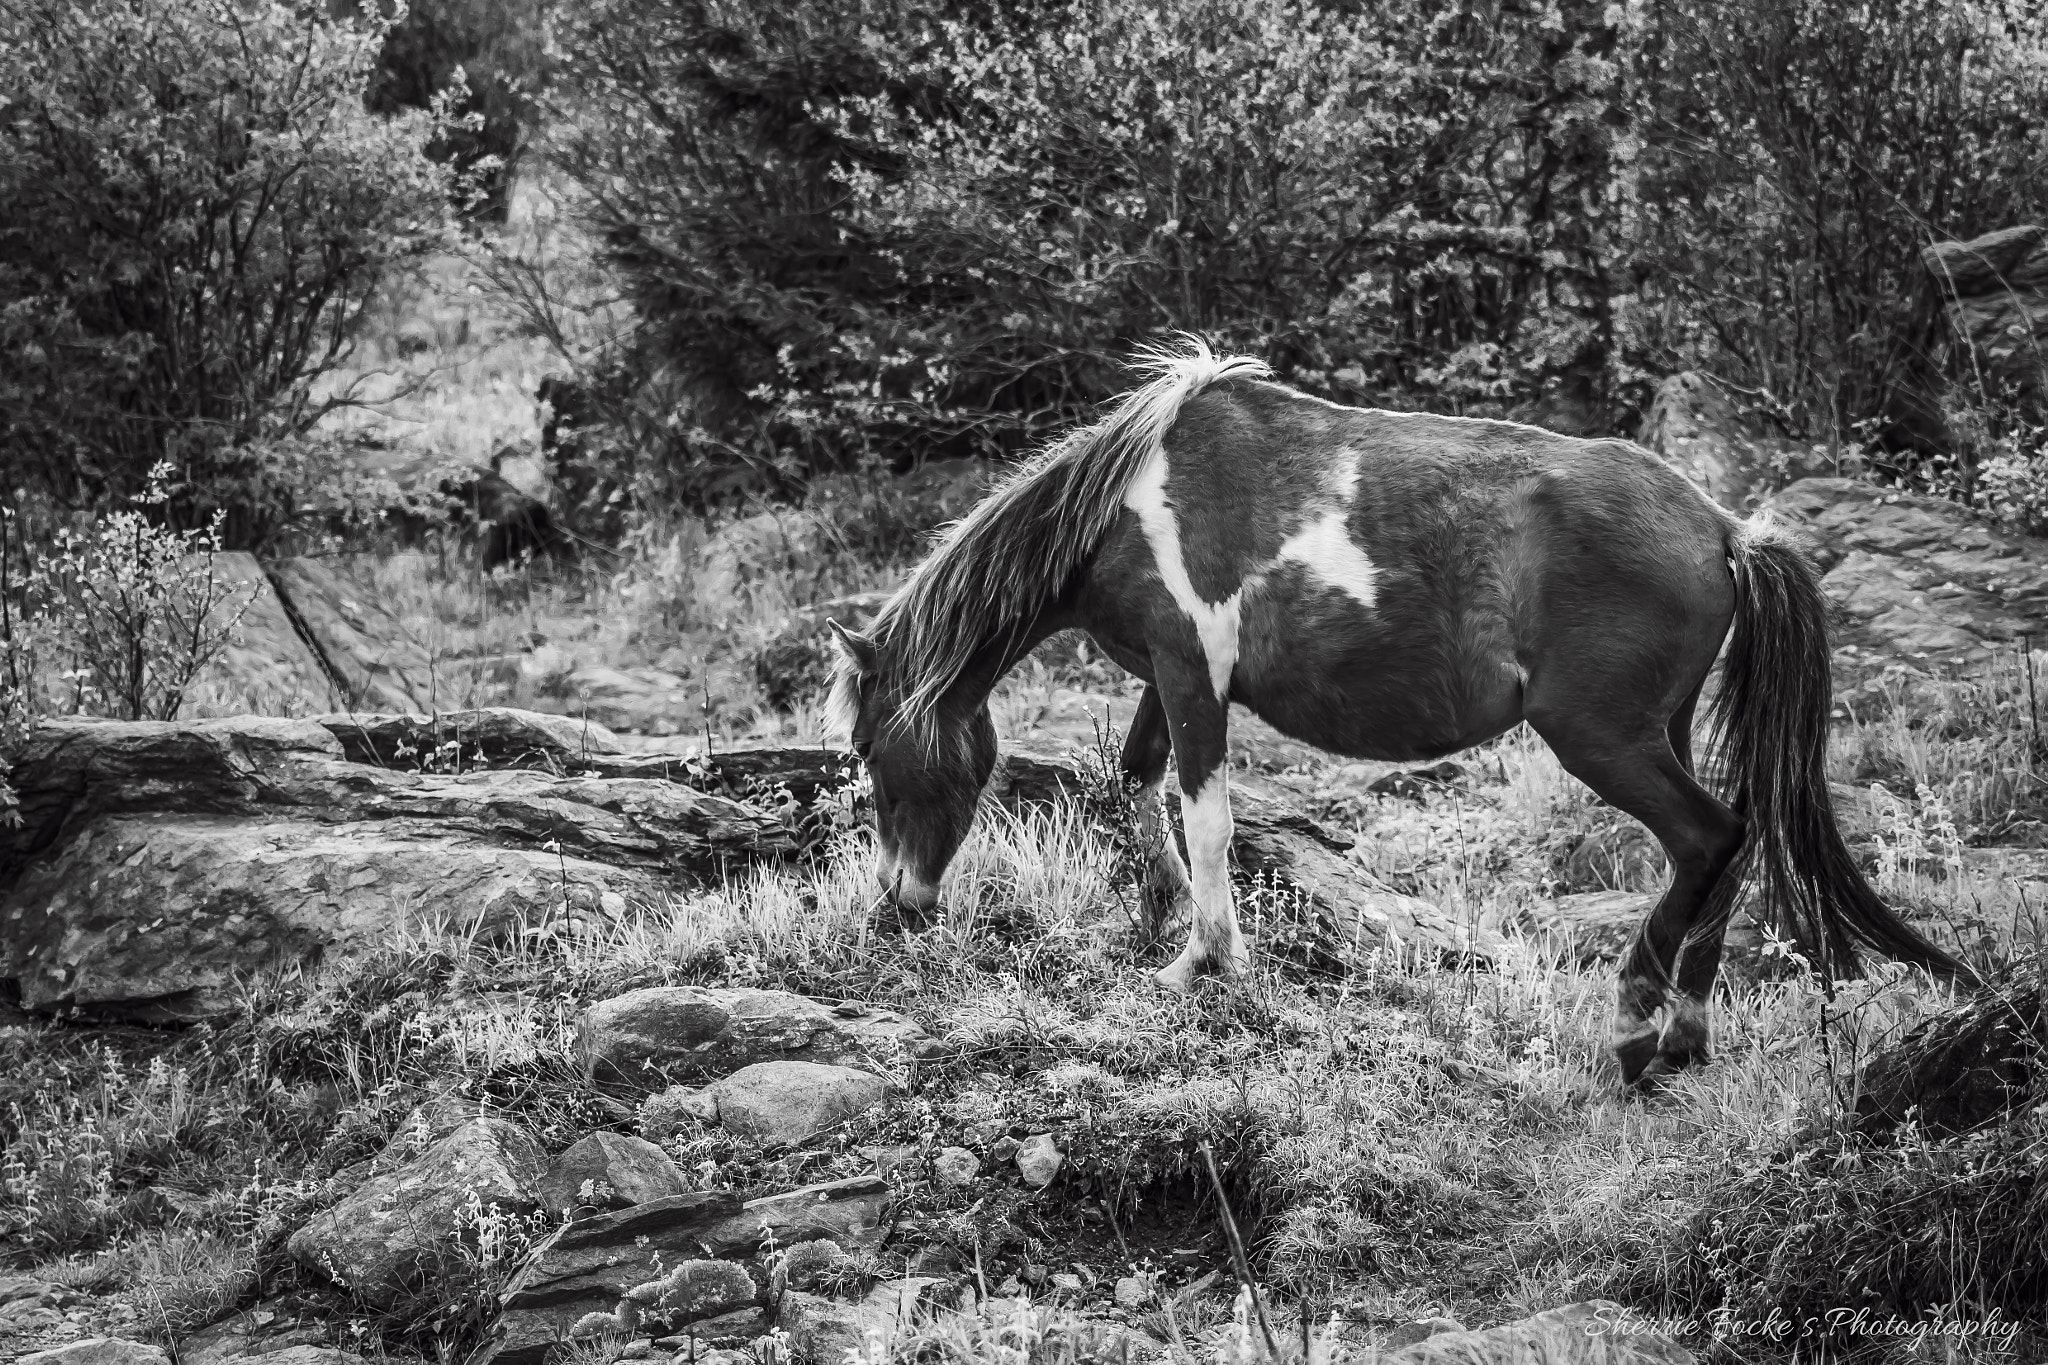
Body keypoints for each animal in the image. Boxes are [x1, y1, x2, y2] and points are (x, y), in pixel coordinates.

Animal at [826, 339, 1966, 1083]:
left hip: (1598, 736)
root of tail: (1726, 530)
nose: (897, 904)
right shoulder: (1165, 674)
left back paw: (1634, 1027)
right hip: (1662, 729)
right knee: (1723, 852)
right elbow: (1139, 785)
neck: (1131, 501)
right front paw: (1162, 919)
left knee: (1707, 835)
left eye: (873, 748)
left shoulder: (1192, 673)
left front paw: (1202, 961)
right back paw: (1684, 1035)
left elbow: (1204, 813)